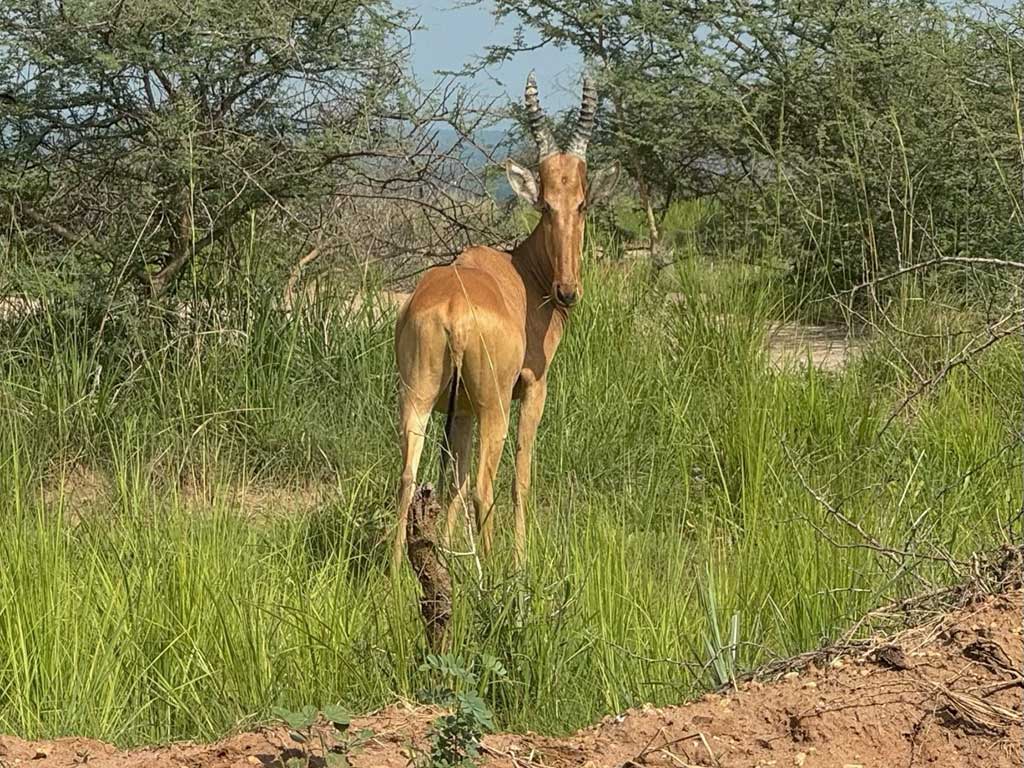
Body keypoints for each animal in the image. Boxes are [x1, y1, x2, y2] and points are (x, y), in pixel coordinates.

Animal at [392, 72, 620, 569]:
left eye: (581, 203)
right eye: (546, 204)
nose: (567, 291)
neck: (520, 272)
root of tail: (454, 310)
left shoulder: (460, 411)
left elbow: (452, 484)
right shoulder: (534, 389)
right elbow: (521, 477)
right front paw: (521, 559)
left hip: (419, 396)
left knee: (409, 477)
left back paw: (396, 572)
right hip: (494, 406)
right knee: (484, 484)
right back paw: (495, 571)